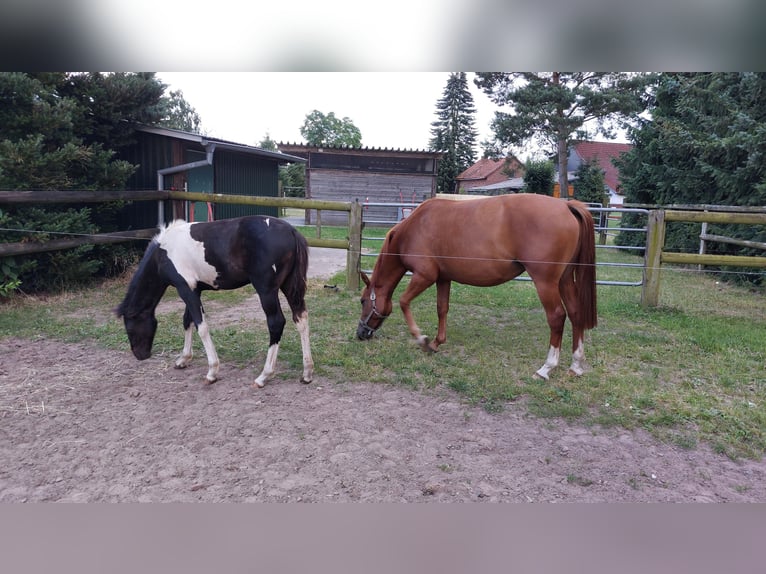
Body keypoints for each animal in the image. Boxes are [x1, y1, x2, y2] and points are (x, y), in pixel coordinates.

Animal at [117, 217, 316, 392]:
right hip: (289, 286)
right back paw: (307, 373)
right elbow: (187, 321)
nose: (140, 355)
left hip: (266, 290)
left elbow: (201, 326)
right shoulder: (194, 290)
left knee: (276, 323)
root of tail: (291, 231)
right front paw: (183, 359)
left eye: (130, 328)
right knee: (301, 319)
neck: (164, 252)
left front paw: (212, 372)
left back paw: (263, 376)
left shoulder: (185, 289)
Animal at [358, 195, 600, 382]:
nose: (360, 334)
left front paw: (422, 339)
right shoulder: (443, 278)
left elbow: (404, 302)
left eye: (362, 301)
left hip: (546, 282)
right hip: (565, 280)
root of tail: (566, 205)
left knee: (557, 317)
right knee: (575, 313)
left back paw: (546, 368)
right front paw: (436, 343)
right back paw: (575, 365)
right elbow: (442, 308)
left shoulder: (424, 276)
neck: (413, 229)